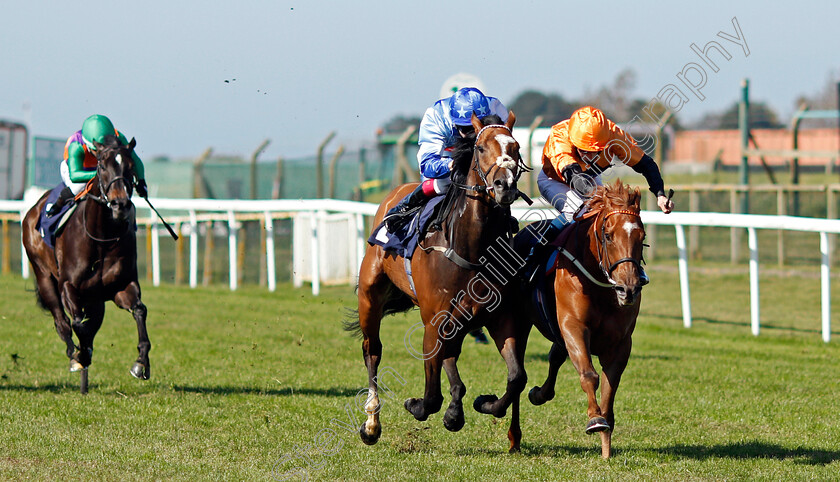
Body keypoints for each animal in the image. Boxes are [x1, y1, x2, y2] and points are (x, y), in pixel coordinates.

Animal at [21, 135, 151, 392]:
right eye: (102, 167)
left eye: (131, 166)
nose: (120, 204)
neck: (101, 236)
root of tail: (34, 207)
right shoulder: (68, 286)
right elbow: (78, 324)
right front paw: (81, 356)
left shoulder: (120, 286)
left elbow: (139, 310)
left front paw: (141, 363)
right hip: (43, 276)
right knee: (62, 322)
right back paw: (75, 356)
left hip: (95, 297)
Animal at [348, 112, 532, 452]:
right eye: (481, 148)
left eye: (515, 148)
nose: (504, 186)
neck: (472, 248)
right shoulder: (434, 321)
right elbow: (431, 396)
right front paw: (416, 405)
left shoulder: (503, 319)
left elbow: (517, 377)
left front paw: (485, 403)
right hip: (370, 297)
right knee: (372, 351)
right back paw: (371, 423)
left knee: (452, 357)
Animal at [524, 179, 644, 458]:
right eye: (608, 235)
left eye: (642, 237)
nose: (629, 289)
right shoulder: (573, 326)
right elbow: (589, 374)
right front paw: (595, 420)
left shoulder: (621, 342)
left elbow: (610, 386)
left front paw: (606, 445)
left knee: (555, 356)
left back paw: (539, 394)